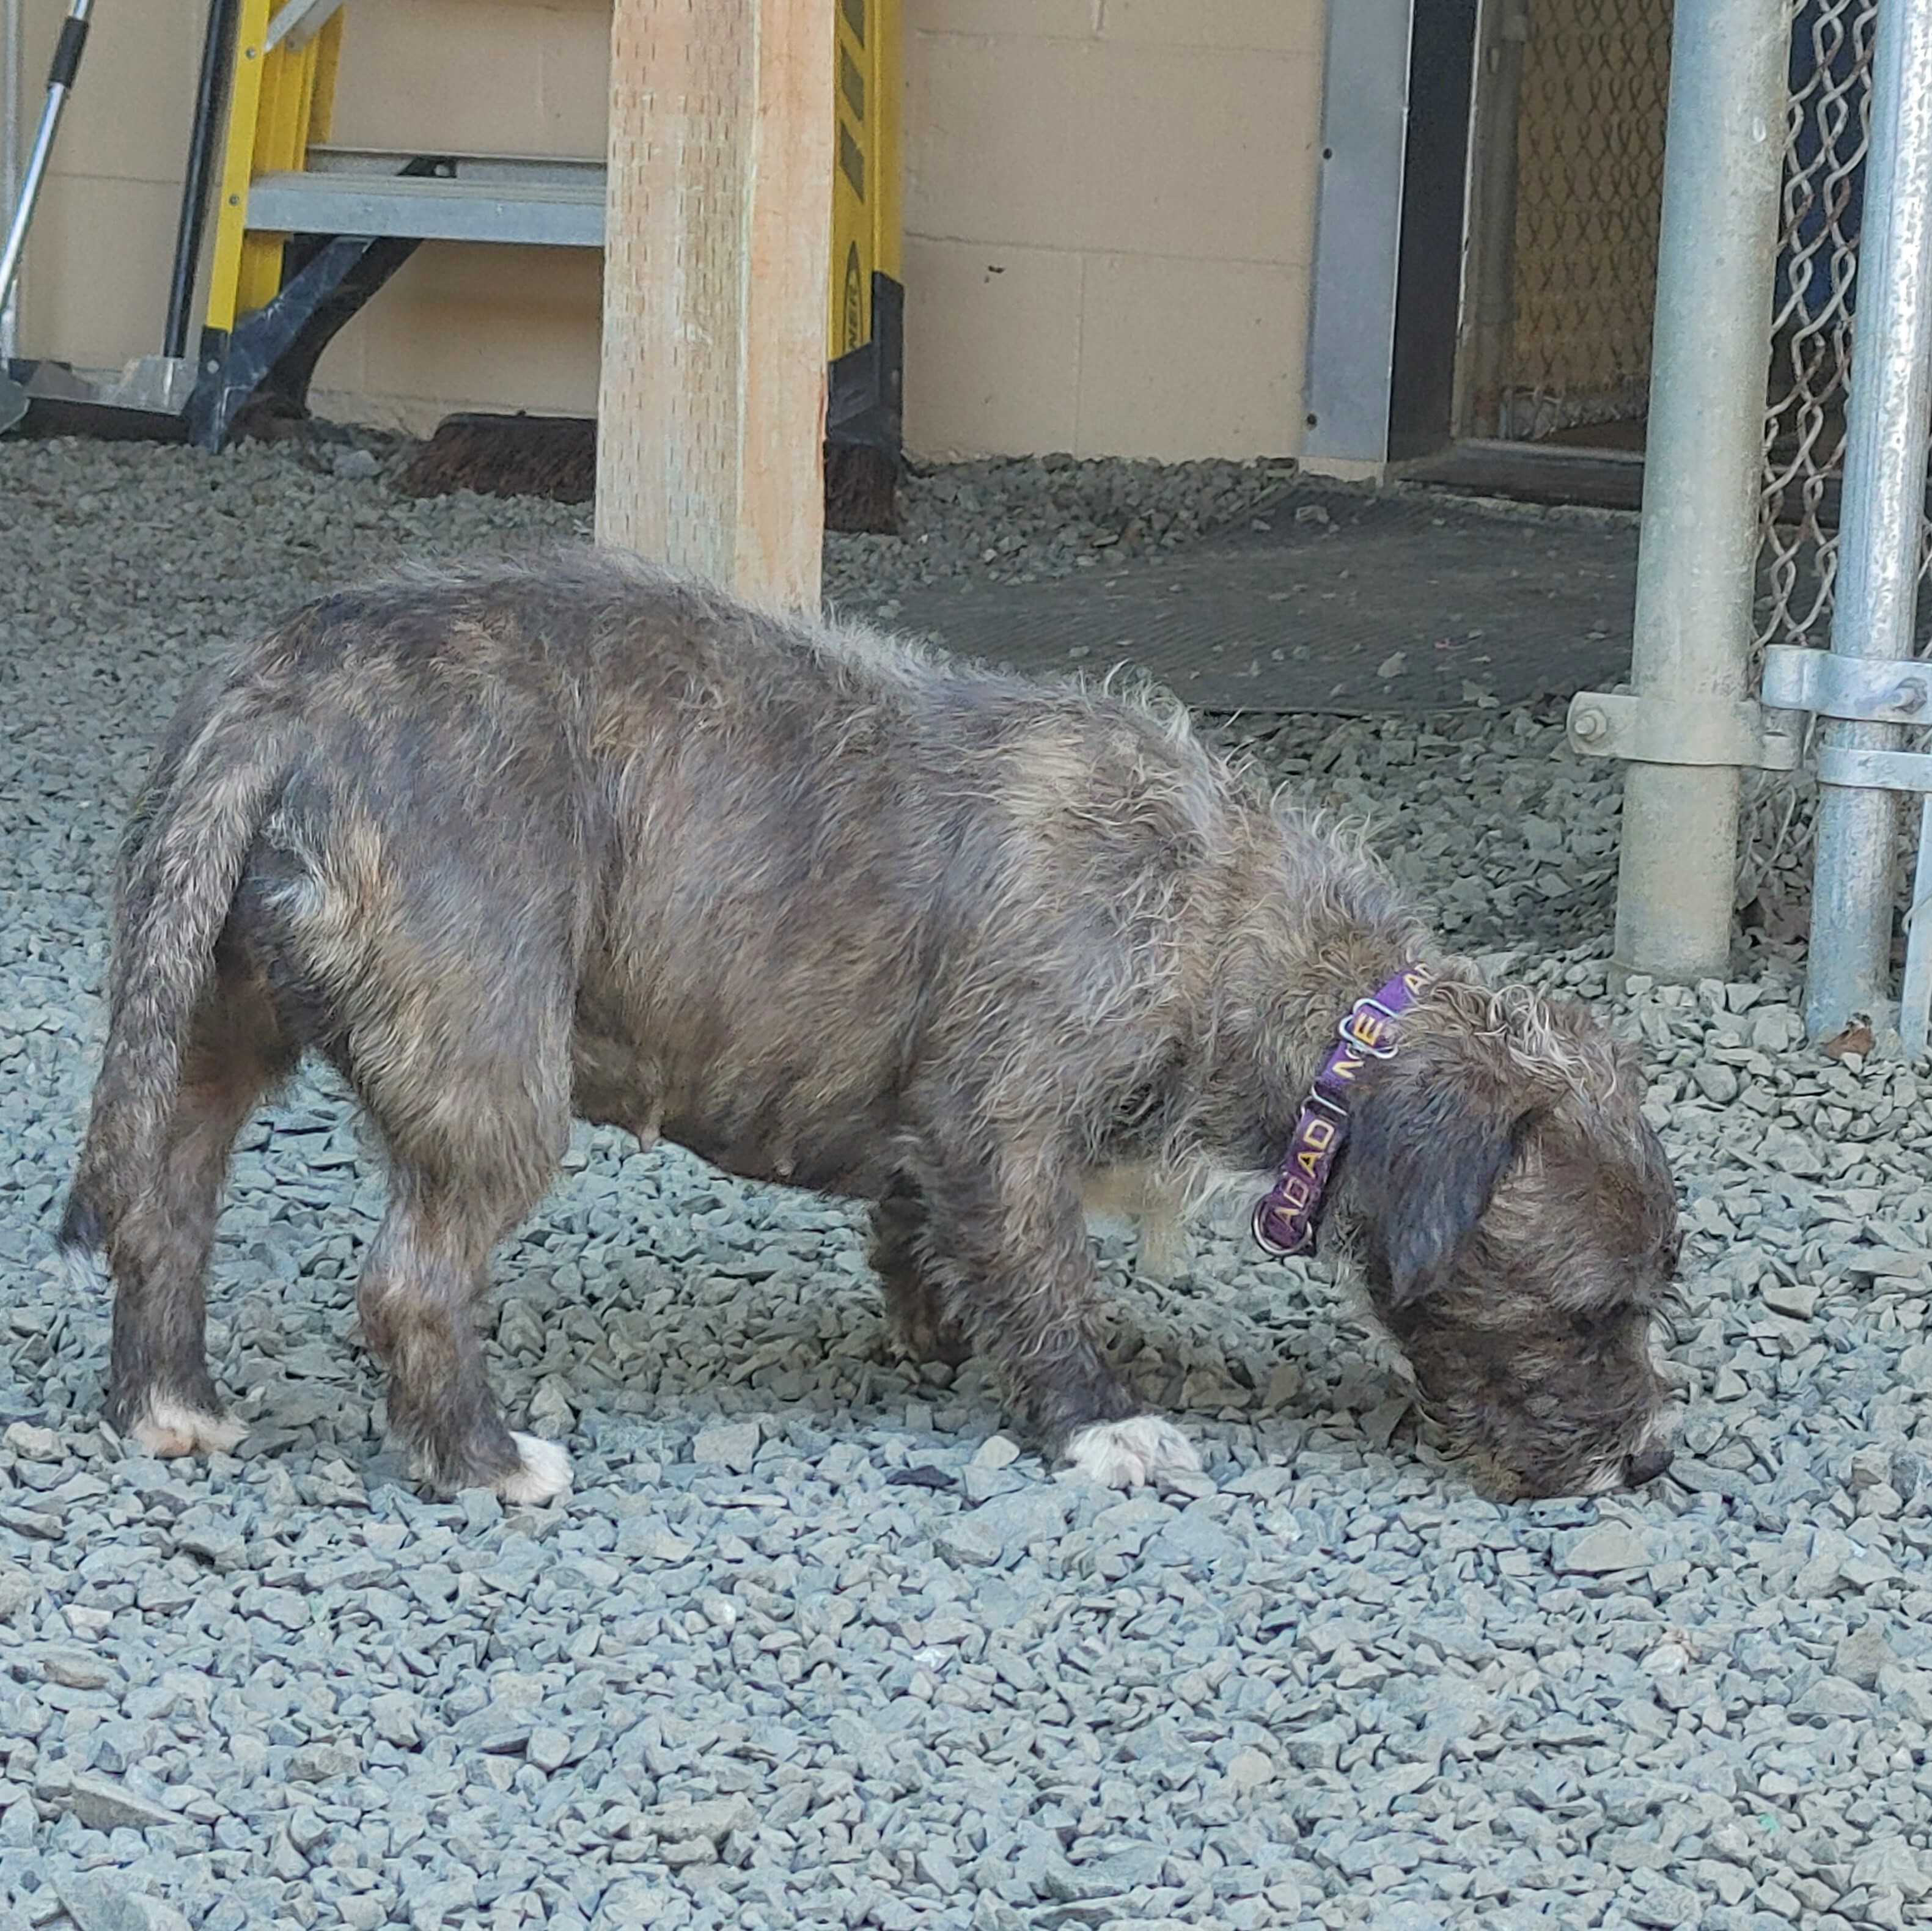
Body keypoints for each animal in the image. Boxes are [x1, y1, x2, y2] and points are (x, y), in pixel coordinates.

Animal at [64, 552, 1677, 1498]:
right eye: (1591, 1310)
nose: (1651, 1459)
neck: (1255, 947)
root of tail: (286, 690)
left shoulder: (937, 1137)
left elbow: (926, 1230)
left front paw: (931, 1329)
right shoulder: (1006, 1119)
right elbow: (1047, 1272)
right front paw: (1093, 1419)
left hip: (207, 1026)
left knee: (162, 1210)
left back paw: (171, 1406)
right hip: (489, 1078)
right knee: (409, 1282)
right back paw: (481, 1457)